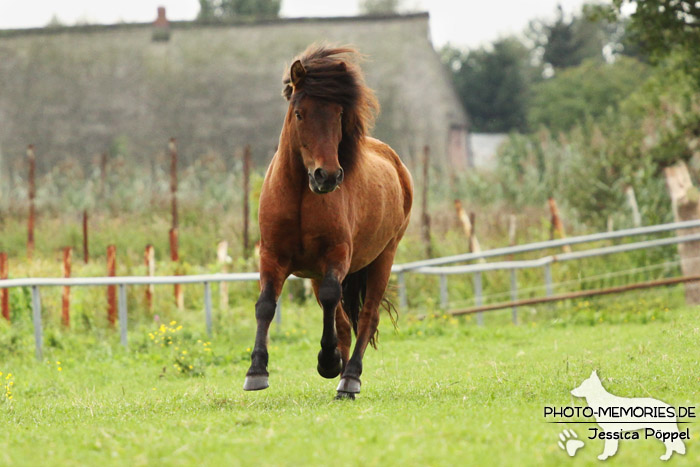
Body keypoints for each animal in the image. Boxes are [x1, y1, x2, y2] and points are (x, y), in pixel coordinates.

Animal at [245, 45, 412, 400]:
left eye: (337, 114)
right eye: (299, 113)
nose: (328, 176)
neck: (299, 195)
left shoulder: (336, 255)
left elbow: (332, 298)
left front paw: (328, 360)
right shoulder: (271, 255)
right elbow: (266, 305)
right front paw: (256, 371)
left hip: (383, 258)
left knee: (367, 316)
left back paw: (349, 377)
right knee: (345, 321)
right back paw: (342, 382)